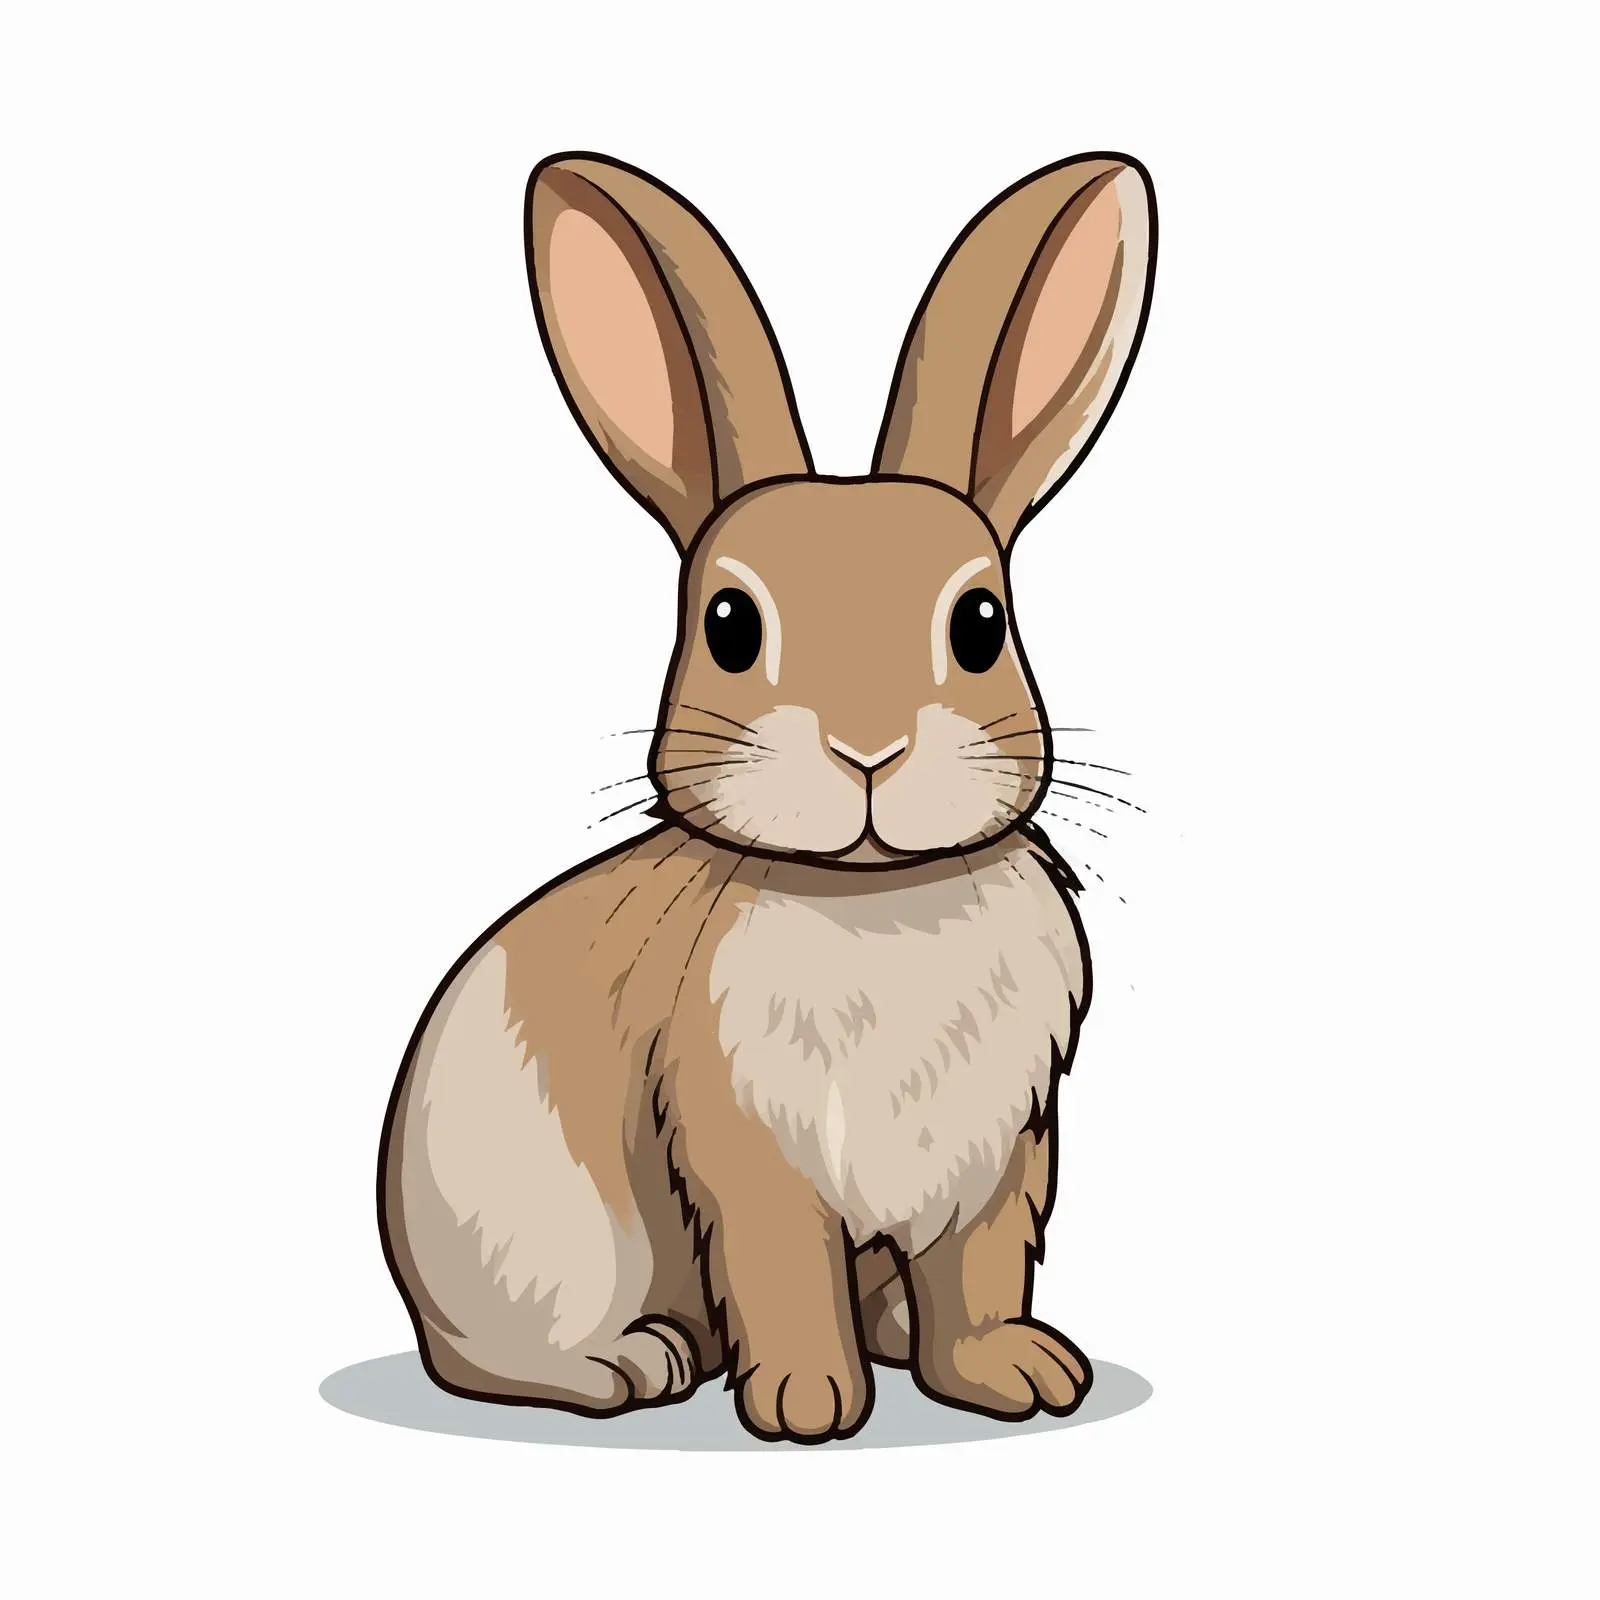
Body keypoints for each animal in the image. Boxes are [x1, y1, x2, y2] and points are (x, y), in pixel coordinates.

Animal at [378, 150, 1156, 1443]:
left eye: (980, 623)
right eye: (730, 625)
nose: (867, 750)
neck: (877, 899)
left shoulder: (999, 1154)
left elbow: (977, 1279)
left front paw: (1017, 1375)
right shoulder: (746, 1149)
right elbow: (782, 1270)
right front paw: (804, 1403)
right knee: (495, 1359)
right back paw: (638, 1364)